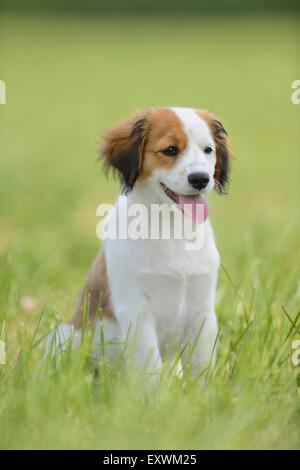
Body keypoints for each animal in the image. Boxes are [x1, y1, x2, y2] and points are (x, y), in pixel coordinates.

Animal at [52, 107, 230, 382]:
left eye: (208, 150)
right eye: (170, 150)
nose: (201, 179)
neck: (171, 229)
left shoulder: (203, 310)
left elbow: (201, 368)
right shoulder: (137, 310)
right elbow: (150, 370)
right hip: (65, 336)